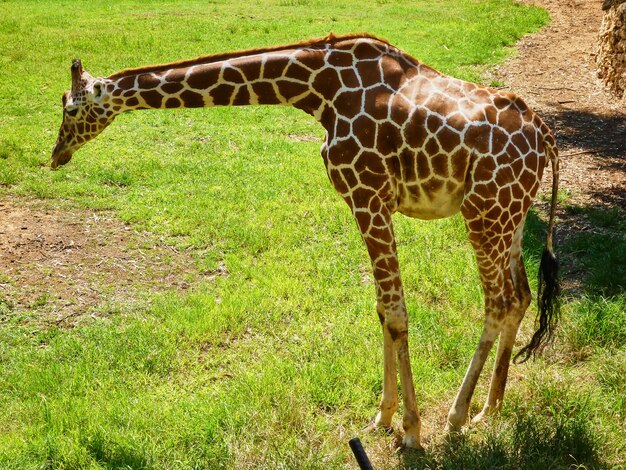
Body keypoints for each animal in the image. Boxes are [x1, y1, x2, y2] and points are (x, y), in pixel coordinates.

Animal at [51, 33, 560, 448]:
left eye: (71, 109)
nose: (56, 154)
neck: (318, 91)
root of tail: (545, 137)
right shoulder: (367, 202)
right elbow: (381, 310)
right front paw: (382, 417)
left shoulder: (368, 194)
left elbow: (396, 314)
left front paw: (412, 431)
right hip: (512, 215)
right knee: (520, 296)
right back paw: (489, 409)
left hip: (484, 213)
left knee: (497, 301)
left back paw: (456, 418)